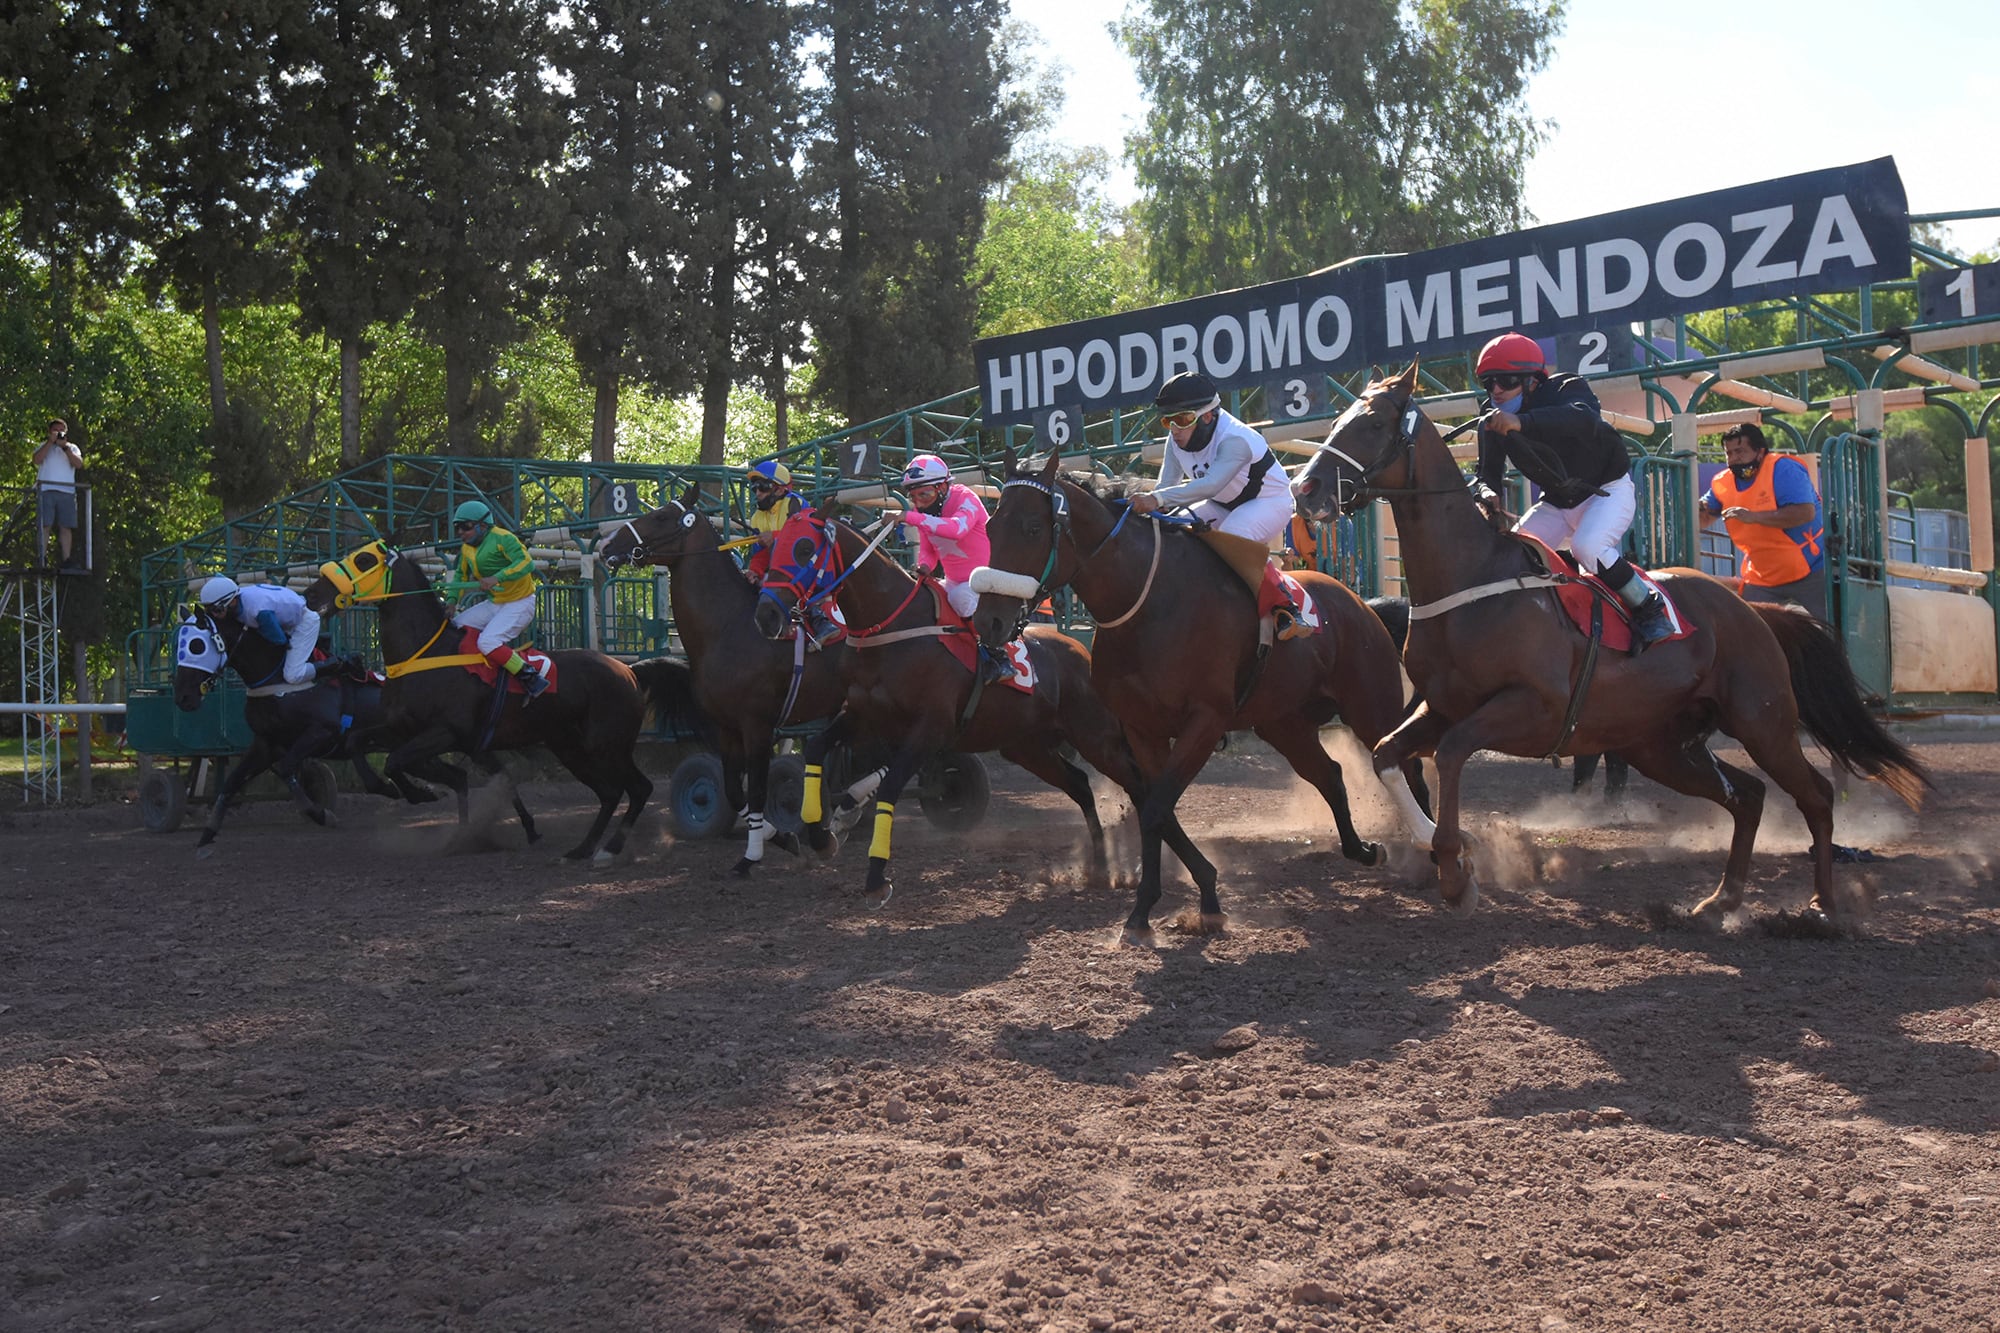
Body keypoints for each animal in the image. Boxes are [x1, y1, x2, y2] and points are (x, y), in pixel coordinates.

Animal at [300, 540, 668, 860]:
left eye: (364, 560)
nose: (310, 593)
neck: (423, 654)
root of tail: (628, 669)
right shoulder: (402, 728)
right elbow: (359, 744)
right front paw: (391, 789)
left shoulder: (447, 732)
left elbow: (396, 761)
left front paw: (421, 793)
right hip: (571, 748)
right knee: (610, 793)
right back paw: (583, 849)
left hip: (607, 745)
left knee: (638, 788)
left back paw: (609, 849)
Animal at [588, 488, 848, 872]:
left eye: (660, 516)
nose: (607, 544)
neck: (728, 627)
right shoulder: (726, 727)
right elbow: (734, 791)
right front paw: (783, 838)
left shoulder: (758, 725)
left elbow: (757, 791)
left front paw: (751, 857)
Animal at [744, 500, 1192, 904]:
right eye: (773, 546)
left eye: (804, 548)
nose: (766, 614)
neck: (891, 630)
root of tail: (1082, 651)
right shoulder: (862, 716)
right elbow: (816, 749)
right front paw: (820, 836)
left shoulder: (930, 728)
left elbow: (888, 786)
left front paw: (875, 879)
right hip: (1026, 746)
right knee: (1081, 785)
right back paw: (1099, 866)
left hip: (1095, 737)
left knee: (1137, 788)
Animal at [964, 452, 1424, 940]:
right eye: (990, 526)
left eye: (1033, 527)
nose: (990, 621)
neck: (1147, 606)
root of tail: (1360, 604)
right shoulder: (1142, 729)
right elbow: (1154, 808)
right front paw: (1157, 907)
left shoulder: (1205, 721)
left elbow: (1155, 809)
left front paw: (1185, 903)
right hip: (1283, 723)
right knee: (1330, 774)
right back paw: (1364, 849)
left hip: (1368, 705)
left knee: (1404, 763)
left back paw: (1429, 853)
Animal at [1288, 364, 1928, 924]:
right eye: (1340, 419)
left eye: (1372, 423)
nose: (1305, 486)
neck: (1469, 578)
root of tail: (1754, 610)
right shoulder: (1440, 705)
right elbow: (1386, 754)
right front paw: (1445, 851)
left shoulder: (1531, 708)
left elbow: (1449, 754)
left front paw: (1454, 869)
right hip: (1661, 744)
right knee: (1746, 796)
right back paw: (1719, 901)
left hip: (1761, 721)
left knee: (1814, 796)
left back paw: (1821, 906)